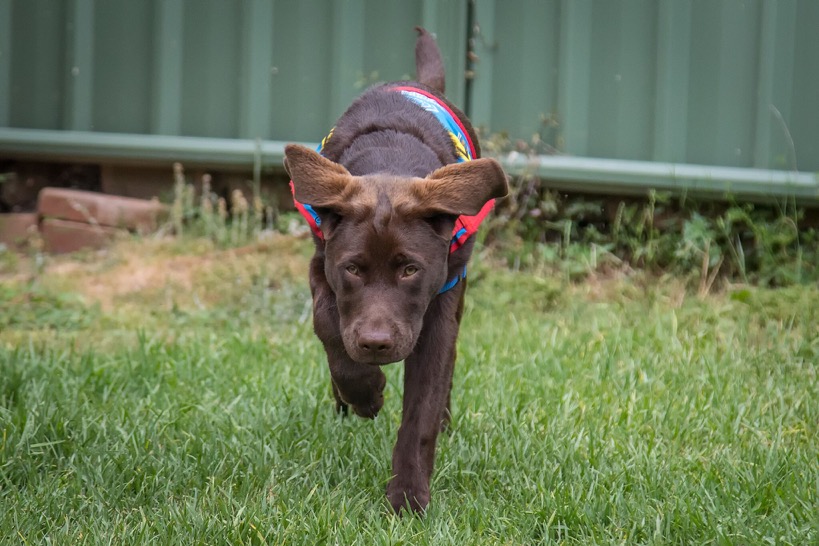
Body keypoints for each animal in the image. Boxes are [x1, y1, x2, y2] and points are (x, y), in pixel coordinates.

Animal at [286, 26, 510, 510]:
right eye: (353, 269)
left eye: (410, 270)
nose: (376, 344)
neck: (390, 158)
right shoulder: (321, 263)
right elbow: (328, 323)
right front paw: (364, 392)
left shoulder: (442, 298)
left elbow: (423, 405)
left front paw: (408, 496)